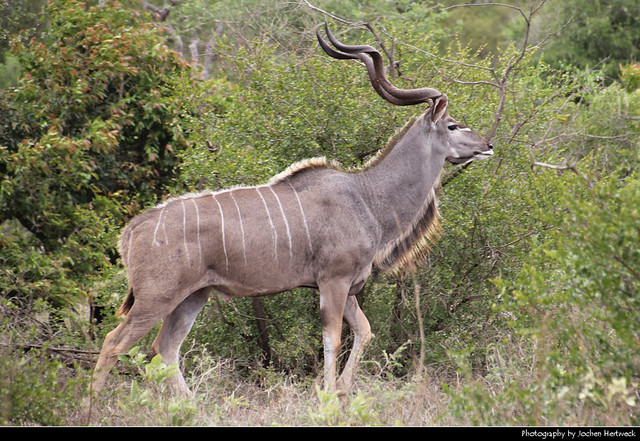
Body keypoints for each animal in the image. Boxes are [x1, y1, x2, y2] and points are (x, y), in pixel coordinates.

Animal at [90, 23, 492, 396]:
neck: (368, 197)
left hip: (193, 296)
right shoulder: (333, 281)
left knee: (165, 348)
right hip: (157, 296)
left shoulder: (348, 287)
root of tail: (132, 230)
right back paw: (92, 403)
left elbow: (364, 332)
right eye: (453, 125)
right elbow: (333, 338)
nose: (487, 145)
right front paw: (327, 396)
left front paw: (342, 390)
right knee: (114, 342)